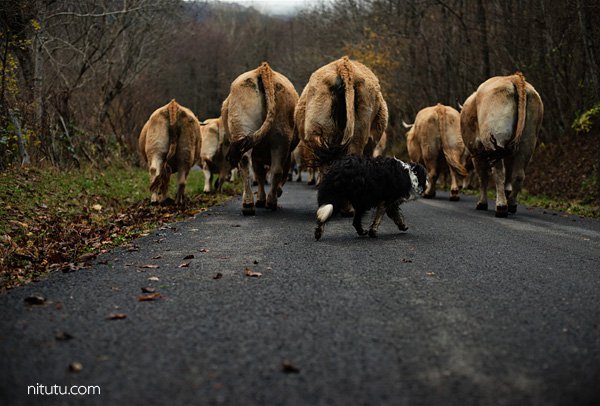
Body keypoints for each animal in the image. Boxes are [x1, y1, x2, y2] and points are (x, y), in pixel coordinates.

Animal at [221, 62, 298, 216]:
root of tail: (263, 69)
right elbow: (262, 174)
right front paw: (269, 195)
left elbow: (259, 173)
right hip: (280, 139)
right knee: (276, 170)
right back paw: (270, 201)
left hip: (244, 129)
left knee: (246, 163)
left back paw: (249, 204)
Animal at [460, 73, 544, 219]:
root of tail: (513, 77)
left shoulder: (477, 151)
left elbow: (483, 177)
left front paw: (482, 203)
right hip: (527, 143)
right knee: (518, 175)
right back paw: (511, 204)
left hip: (495, 139)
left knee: (499, 173)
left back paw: (501, 207)